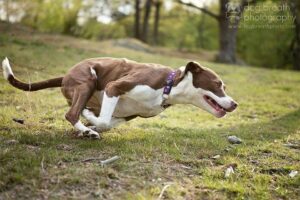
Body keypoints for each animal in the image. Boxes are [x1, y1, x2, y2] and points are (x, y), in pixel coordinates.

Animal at [2, 57, 237, 138]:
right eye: (218, 84)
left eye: (224, 86)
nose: (235, 104)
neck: (169, 85)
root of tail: (64, 76)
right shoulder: (114, 87)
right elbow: (104, 121)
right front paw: (91, 123)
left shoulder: (129, 115)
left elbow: (108, 123)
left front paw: (92, 123)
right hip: (87, 80)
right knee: (71, 113)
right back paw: (86, 128)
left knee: (76, 112)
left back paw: (86, 125)